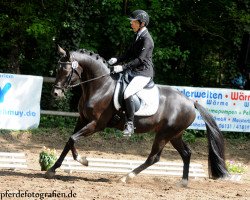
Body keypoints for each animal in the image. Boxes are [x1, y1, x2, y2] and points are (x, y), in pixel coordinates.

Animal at [45, 46, 229, 185]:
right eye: (57, 69)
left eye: (66, 70)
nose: (55, 93)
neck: (100, 86)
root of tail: (191, 102)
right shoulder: (82, 119)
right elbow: (69, 141)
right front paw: (52, 169)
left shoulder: (96, 124)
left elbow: (73, 139)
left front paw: (83, 160)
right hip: (175, 134)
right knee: (186, 153)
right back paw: (183, 182)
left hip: (164, 134)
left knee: (154, 157)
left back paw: (126, 177)